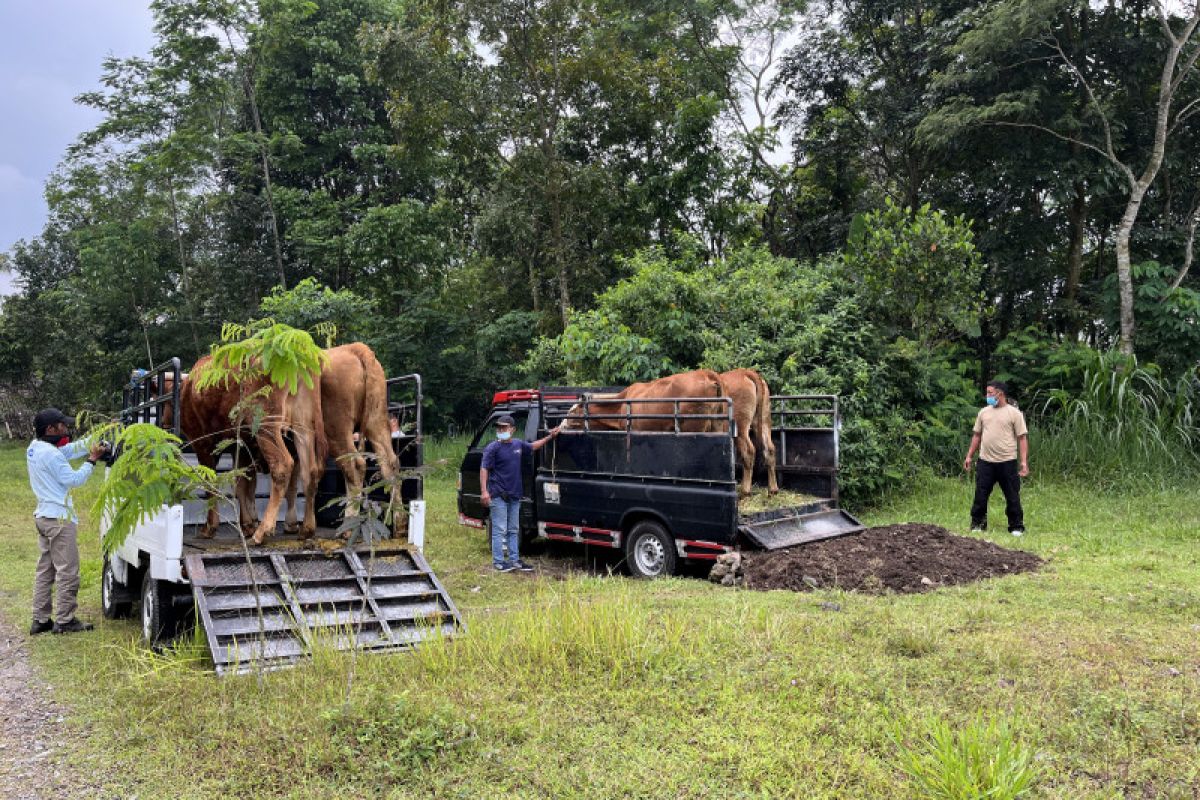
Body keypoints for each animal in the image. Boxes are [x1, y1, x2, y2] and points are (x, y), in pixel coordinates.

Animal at [166, 359, 328, 546]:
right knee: (310, 471)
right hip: (303, 427)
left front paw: (210, 528)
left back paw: (262, 532)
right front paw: (247, 525)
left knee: (282, 466)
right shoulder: (242, 447)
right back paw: (306, 529)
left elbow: (210, 484)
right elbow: (242, 484)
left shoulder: (203, 443)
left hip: (266, 424)